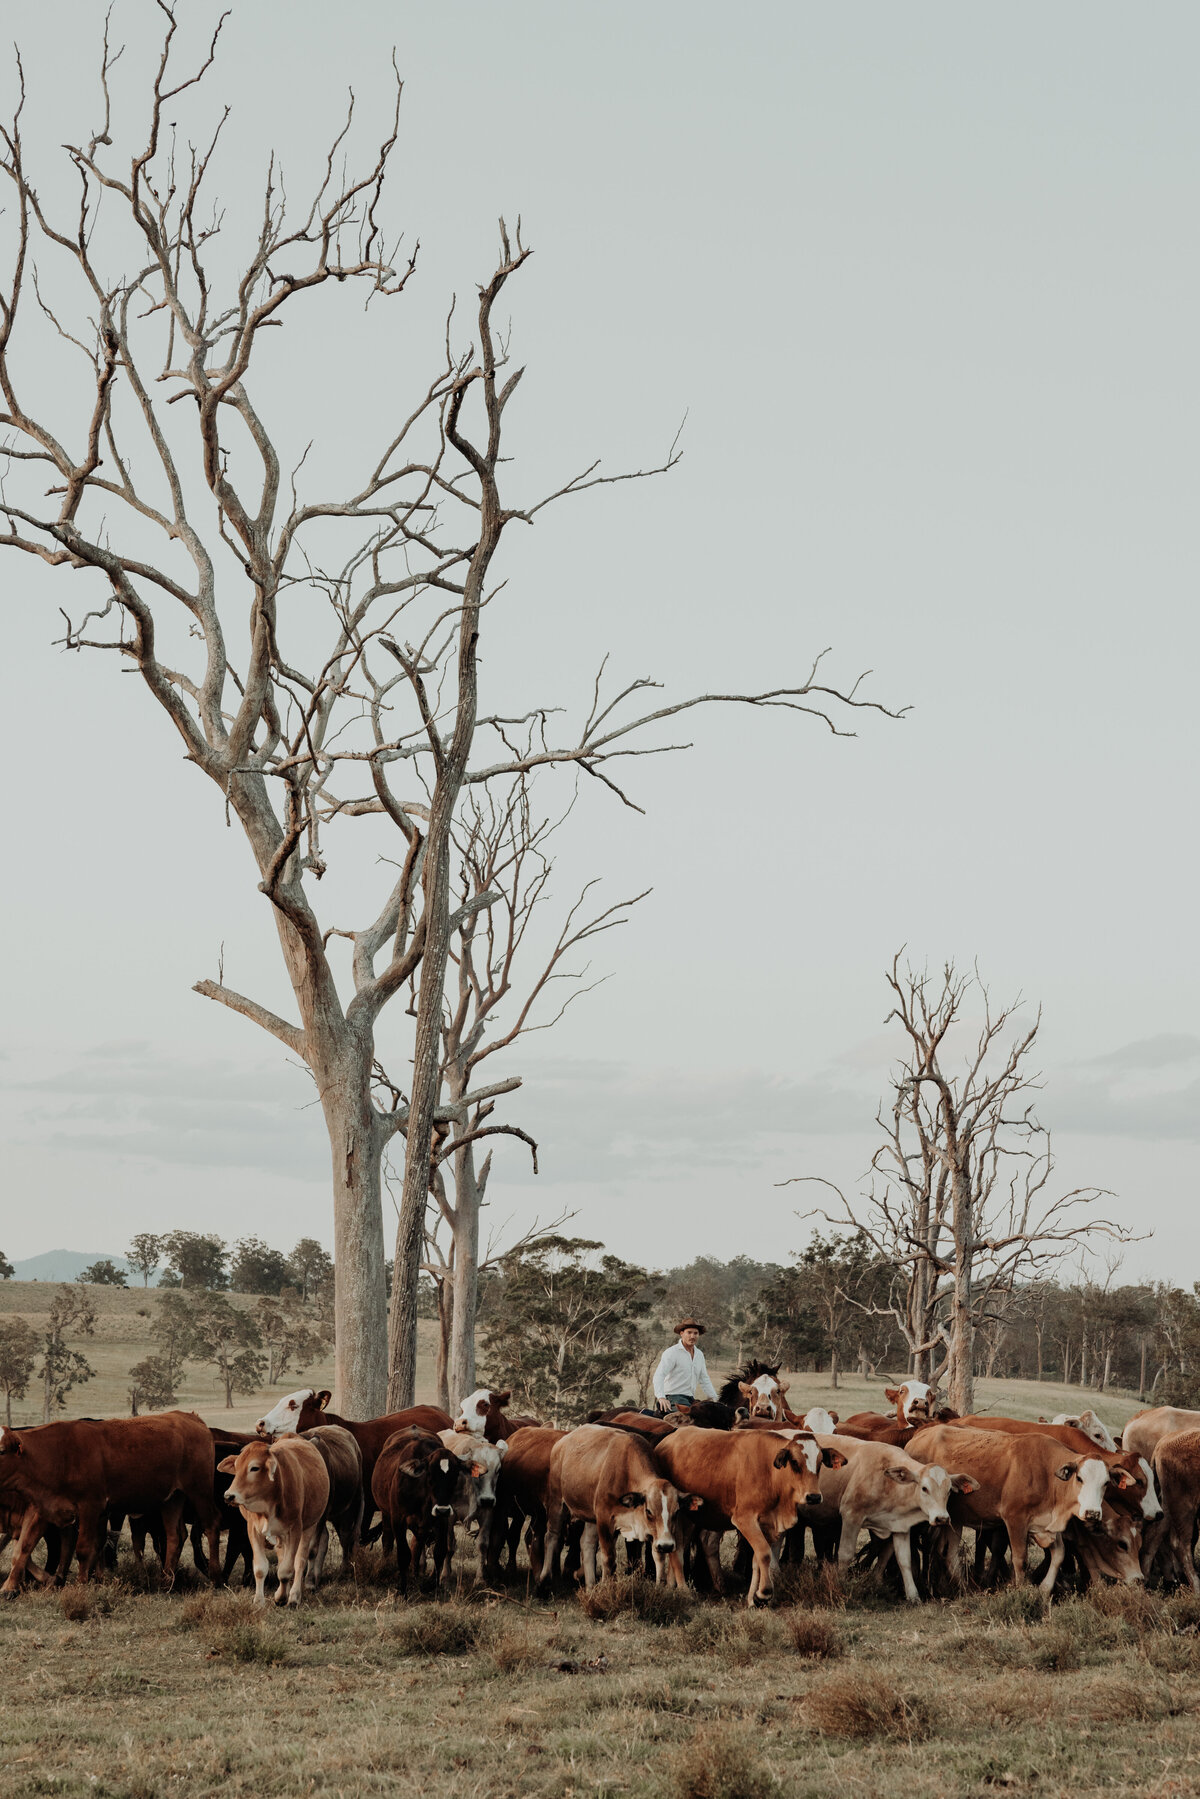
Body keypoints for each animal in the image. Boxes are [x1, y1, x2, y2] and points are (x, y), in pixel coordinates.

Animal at [0, 1410, 219, 1597]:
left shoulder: (90, 1506)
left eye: (1, 1451)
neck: (58, 1455)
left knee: (211, 1527)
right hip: (172, 1499)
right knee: (175, 1536)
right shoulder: (44, 1508)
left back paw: (215, 1577)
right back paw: (166, 1583)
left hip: (200, 1491)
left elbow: (84, 1549)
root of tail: (190, 1417)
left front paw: (80, 1585)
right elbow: (24, 1548)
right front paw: (9, 1588)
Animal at [219, 1424, 329, 1611]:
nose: (229, 1496)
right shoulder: (253, 1529)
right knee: (283, 1557)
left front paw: (283, 1598)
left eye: (254, 1468)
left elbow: (286, 1570)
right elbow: (260, 1568)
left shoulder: (295, 1530)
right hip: (280, 1535)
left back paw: (294, 1595)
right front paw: (259, 1601)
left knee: (300, 1561)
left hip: (310, 1526)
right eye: (236, 1466)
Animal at [651, 1424, 849, 1611]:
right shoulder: (745, 1520)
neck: (770, 1473)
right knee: (677, 1548)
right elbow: (764, 1554)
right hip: (679, 1516)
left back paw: (676, 1586)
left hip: (693, 1517)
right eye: (794, 1462)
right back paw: (682, 1590)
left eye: (820, 1462)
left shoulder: (767, 1525)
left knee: (689, 1545)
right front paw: (763, 1594)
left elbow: (757, 1561)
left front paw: (753, 1599)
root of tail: (667, 1440)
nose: (813, 1497)